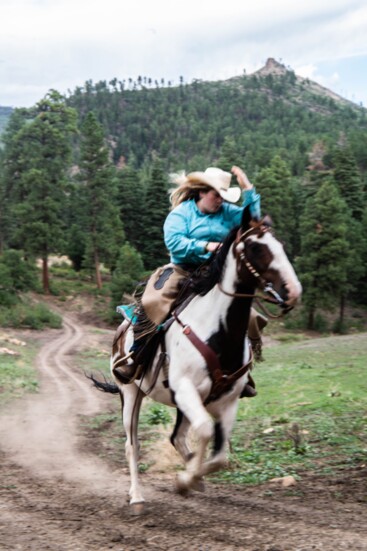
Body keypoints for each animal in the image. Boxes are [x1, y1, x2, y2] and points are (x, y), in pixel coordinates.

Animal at [91, 209, 302, 512]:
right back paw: (137, 495)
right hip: (130, 392)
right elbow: (204, 430)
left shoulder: (227, 401)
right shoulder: (186, 389)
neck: (217, 329)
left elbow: (220, 456)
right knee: (132, 445)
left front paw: (193, 478)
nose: (293, 290)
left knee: (176, 436)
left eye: (280, 245)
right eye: (256, 248)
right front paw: (185, 480)